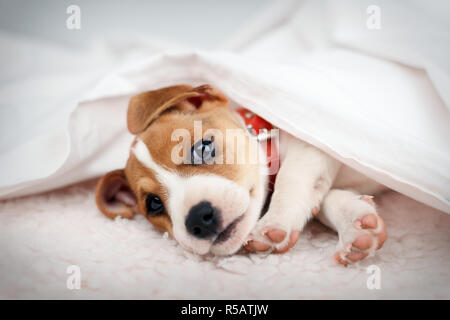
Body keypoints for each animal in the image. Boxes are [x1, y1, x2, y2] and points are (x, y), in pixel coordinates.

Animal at [95, 84, 386, 266]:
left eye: (203, 148)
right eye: (154, 204)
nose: (199, 218)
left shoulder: (313, 144)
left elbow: (290, 177)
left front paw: (275, 224)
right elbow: (323, 197)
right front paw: (356, 223)